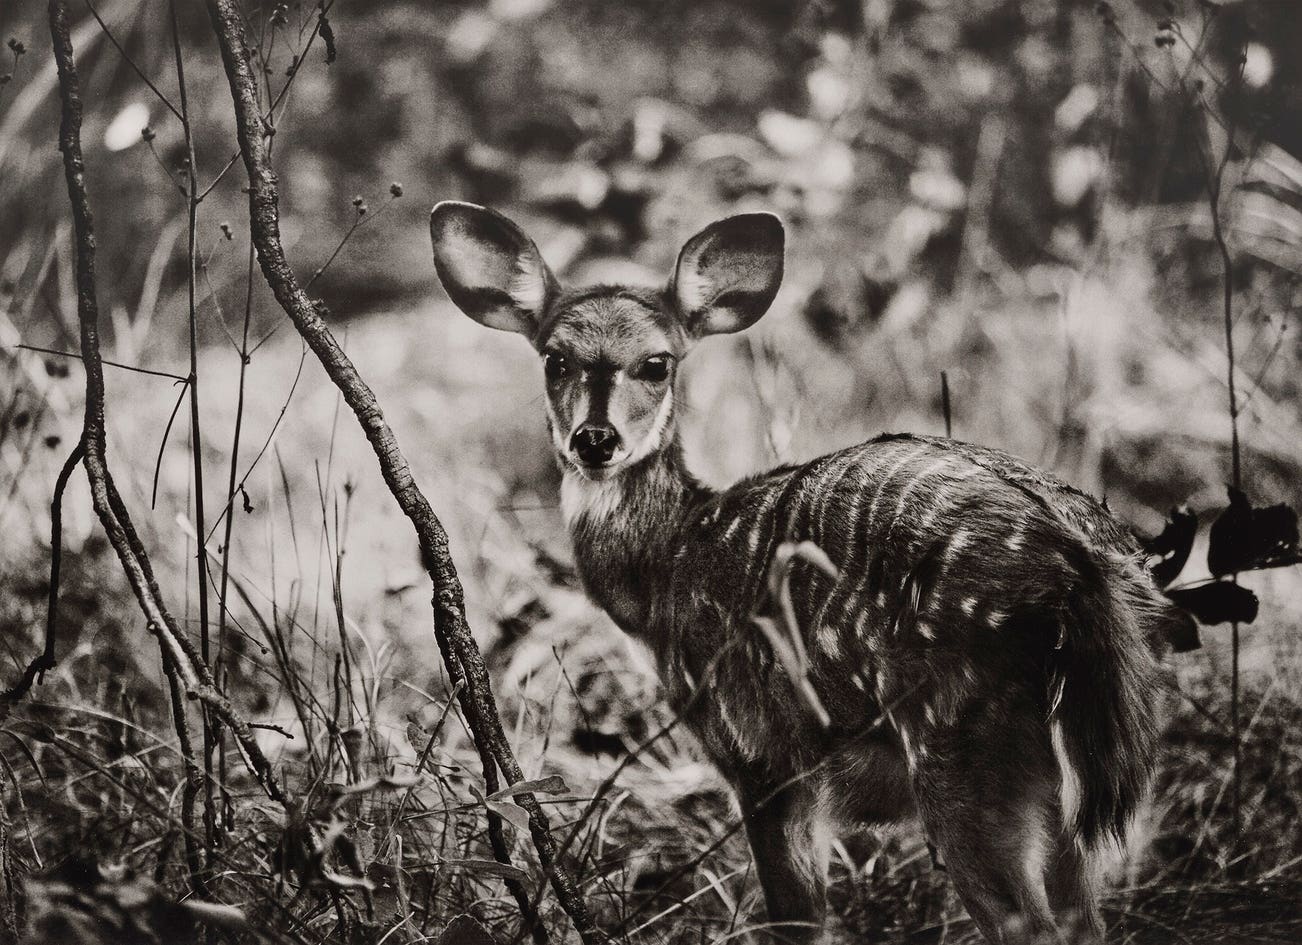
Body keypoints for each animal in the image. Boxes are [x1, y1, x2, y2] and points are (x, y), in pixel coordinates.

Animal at [430, 202, 1183, 944]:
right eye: (554, 359)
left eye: (656, 363)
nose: (594, 440)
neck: (671, 567)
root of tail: (1078, 568)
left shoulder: (761, 752)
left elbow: (795, 919)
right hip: (1059, 761)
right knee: (1082, 917)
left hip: (960, 733)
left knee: (1026, 920)